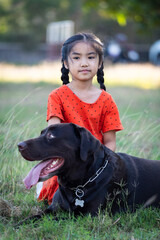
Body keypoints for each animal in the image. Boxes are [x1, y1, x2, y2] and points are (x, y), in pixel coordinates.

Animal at [17, 124, 160, 216]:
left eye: (51, 136)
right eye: (42, 133)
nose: (19, 145)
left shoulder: (86, 215)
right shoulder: (52, 208)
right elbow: (31, 218)